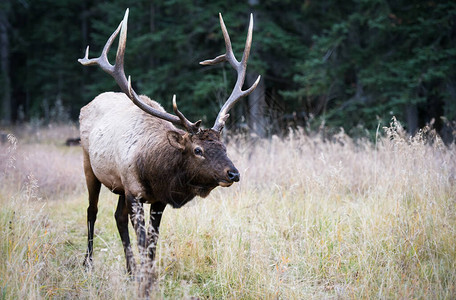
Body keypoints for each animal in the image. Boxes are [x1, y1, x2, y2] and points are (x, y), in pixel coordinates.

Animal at [76, 8, 258, 274]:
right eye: (198, 150)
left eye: (224, 146)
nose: (233, 173)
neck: (155, 172)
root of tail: (88, 104)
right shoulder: (134, 192)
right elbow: (143, 240)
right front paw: (143, 277)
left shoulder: (156, 198)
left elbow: (152, 240)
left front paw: (147, 272)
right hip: (89, 164)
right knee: (92, 210)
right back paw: (88, 262)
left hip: (119, 184)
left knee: (117, 217)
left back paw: (130, 269)